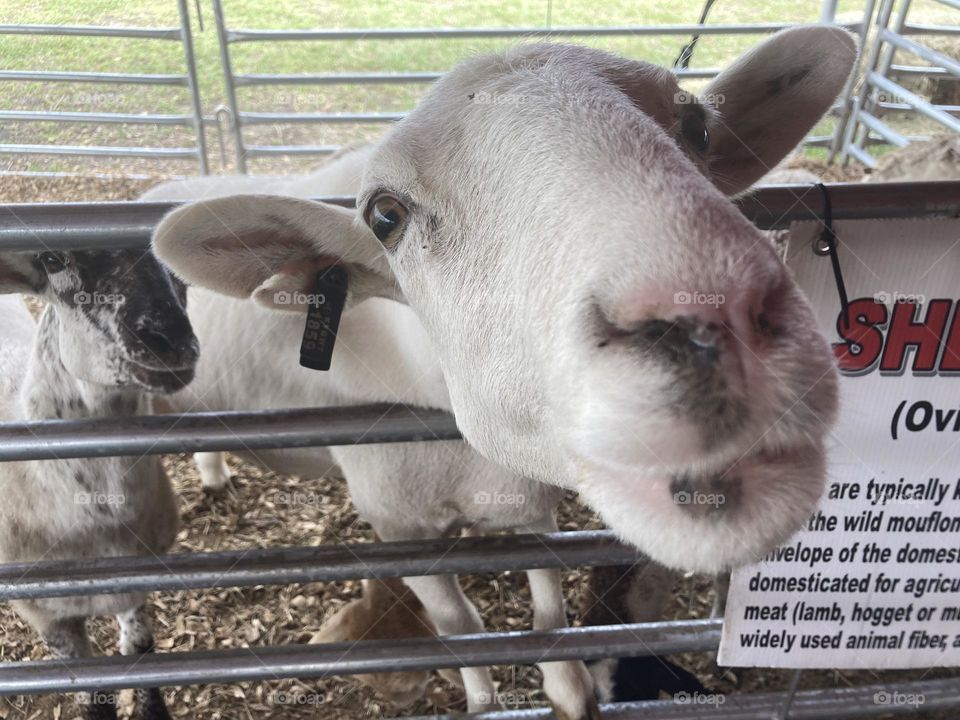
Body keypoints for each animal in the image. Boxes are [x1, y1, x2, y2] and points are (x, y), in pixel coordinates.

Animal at [0, 250, 199, 720]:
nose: (169, 340)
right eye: (52, 259)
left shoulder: (137, 581)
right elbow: (92, 691)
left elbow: (139, 647)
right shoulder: (46, 616)